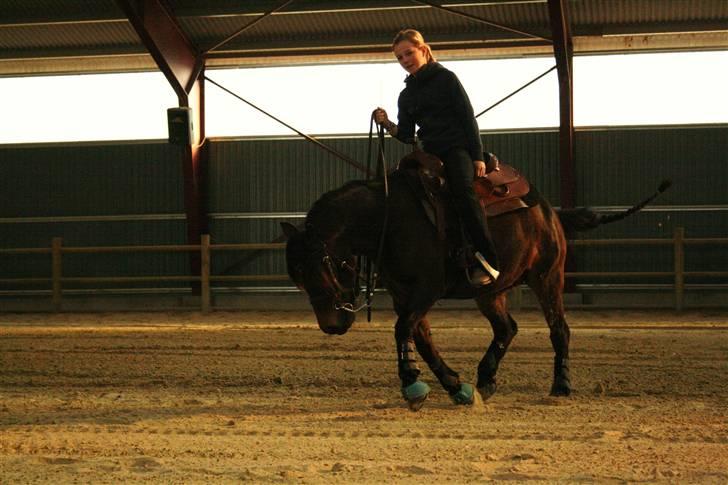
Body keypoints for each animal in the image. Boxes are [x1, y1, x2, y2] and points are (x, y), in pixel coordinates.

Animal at [282, 164, 668, 410]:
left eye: (322, 267)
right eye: (298, 277)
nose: (331, 325)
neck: (390, 219)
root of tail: (549, 211)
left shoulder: (427, 289)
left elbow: (403, 330)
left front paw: (412, 384)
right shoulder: (405, 295)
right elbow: (422, 339)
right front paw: (456, 386)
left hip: (547, 276)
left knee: (559, 329)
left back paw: (561, 385)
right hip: (491, 292)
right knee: (507, 328)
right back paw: (486, 379)